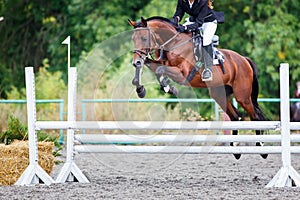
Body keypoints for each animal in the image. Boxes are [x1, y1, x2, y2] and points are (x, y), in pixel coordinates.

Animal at [128, 16, 268, 159]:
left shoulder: (182, 74)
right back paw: (235, 150)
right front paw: (143, 89)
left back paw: (261, 149)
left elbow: (160, 69)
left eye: (144, 38)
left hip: (242, 96)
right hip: (219, 94)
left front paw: (167, 87)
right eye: (133, 39)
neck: (173, 44)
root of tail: (244, 59)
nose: (135, 62)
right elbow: (153, 66)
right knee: (235, 117)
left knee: (255, 117)